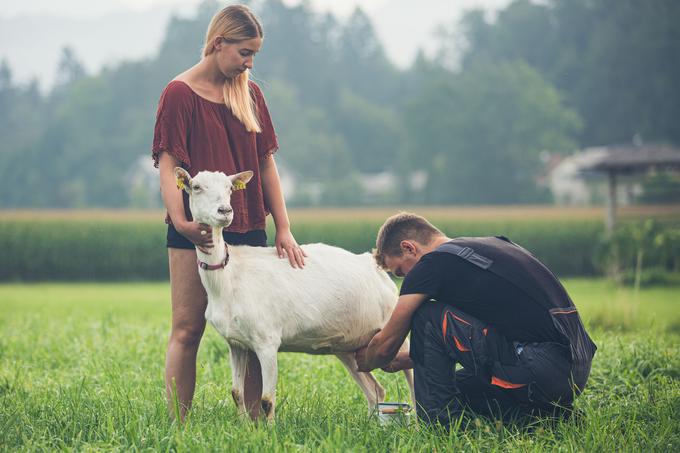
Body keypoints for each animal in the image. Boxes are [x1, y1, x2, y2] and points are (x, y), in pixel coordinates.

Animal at [175, 167, 414, 420]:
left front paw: (268, 429)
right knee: (375, 390)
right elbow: (236, 393)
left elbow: (267, 400)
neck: (228, 277)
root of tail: (376, 268)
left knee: (410, 371)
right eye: (196, 187)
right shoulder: (235, 343)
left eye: (230, 188)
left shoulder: (267, 340)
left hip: (393, 324)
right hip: (348, 345)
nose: (225, 211)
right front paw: (242, 425)